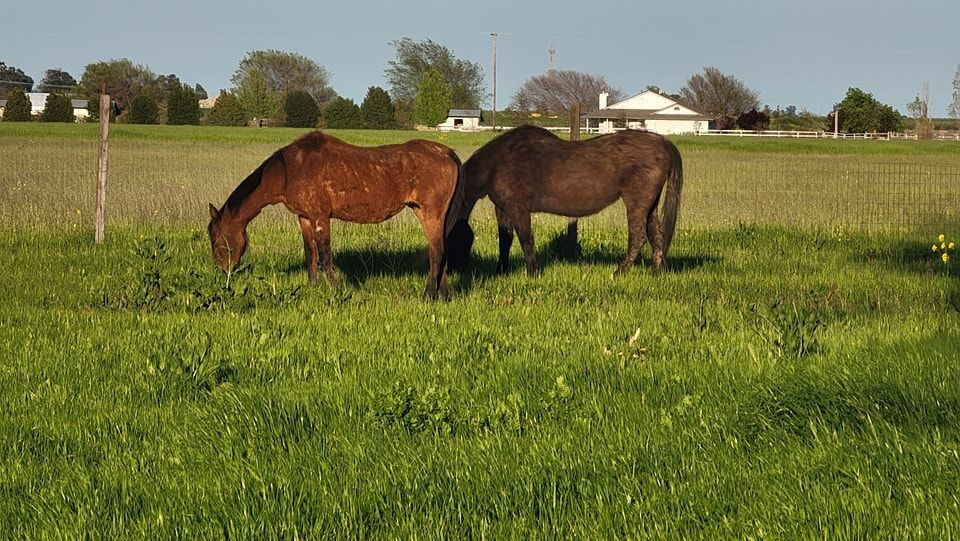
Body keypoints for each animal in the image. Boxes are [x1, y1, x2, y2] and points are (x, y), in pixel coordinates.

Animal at [207, 131, 463, 299]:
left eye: (218, 240)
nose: (223, 272)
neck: (289, 170)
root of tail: (446, 152)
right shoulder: (305, 217)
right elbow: (310, 254)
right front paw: (313, 287)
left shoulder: (320, 216)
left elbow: (324, 255)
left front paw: (336, 288)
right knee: (444, 250)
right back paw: (443, 295)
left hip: (430, 213)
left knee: (436, 252)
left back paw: (428, 295)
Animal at [446, 125, 683, 277]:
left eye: (452, 236)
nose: (452, 270)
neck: (497, 163)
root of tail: (663, 141)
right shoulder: (502, 209)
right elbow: (505, 241)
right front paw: (501, 271)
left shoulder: (517, 208)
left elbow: (526, 240)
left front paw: (533, 273)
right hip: (650, 205)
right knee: (657, 236)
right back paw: (656, 272)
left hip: (636, 203)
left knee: (638, 237)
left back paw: (620, 271)